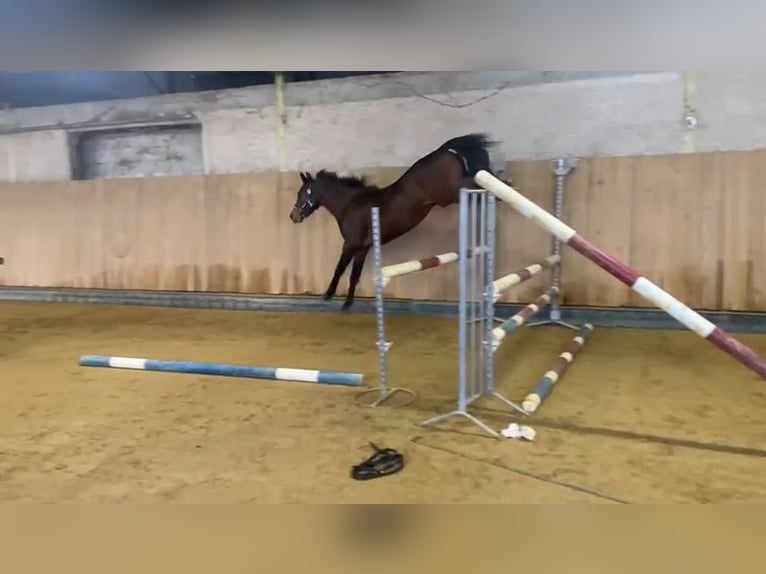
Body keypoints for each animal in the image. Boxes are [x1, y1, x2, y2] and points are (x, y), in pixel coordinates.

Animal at [292, 133, 500, 312]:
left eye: (302, 193)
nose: (293, 216)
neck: (351, 204)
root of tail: (445, 150)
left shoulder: (351, 244)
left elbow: (339, 269)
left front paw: (328, 295)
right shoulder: (363, 248)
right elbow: (354, 275)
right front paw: (347, 303)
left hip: (449, 193)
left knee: (480, 180)